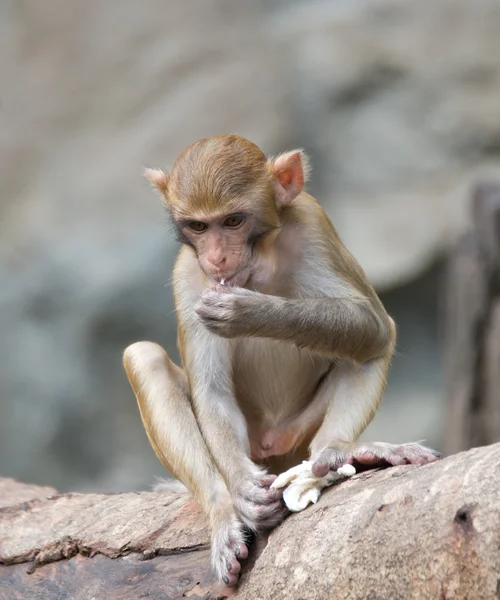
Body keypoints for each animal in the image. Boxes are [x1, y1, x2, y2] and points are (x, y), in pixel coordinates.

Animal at [123, 134, 440, 588]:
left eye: (233, 221)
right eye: (199, 227)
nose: (216, 259)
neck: (259, 261)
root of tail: (272, 446)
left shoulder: (312, 222)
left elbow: (373, 325)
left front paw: (250, 313)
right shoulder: (188, 275)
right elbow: (211, 392)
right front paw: (241, 491)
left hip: (296, 432)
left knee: (375, 342)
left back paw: (343, 450)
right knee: (144, 357)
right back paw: (223, 509)